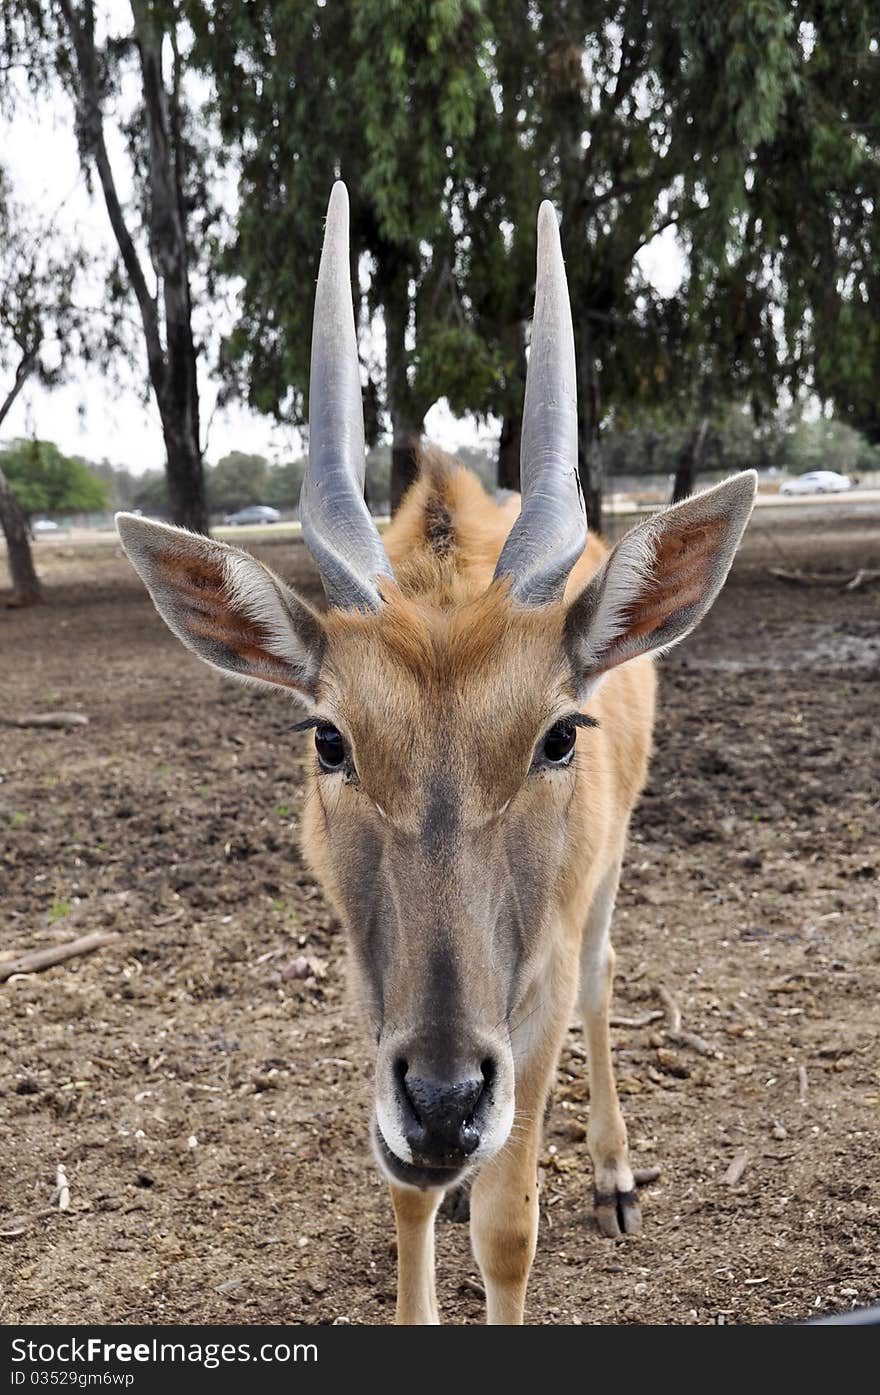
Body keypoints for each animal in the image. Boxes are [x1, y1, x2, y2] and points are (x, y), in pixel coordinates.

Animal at [117, 179, 758, 1322]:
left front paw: (538, 1194)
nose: (448, 1102)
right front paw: (434, 1193)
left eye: (559, 734)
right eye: (330, 737)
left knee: (603, 987)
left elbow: (508, 1229)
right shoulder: (370, 994)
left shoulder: (533, 990)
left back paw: (612, 1173)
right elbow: (405, 1196)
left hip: (606, 880)